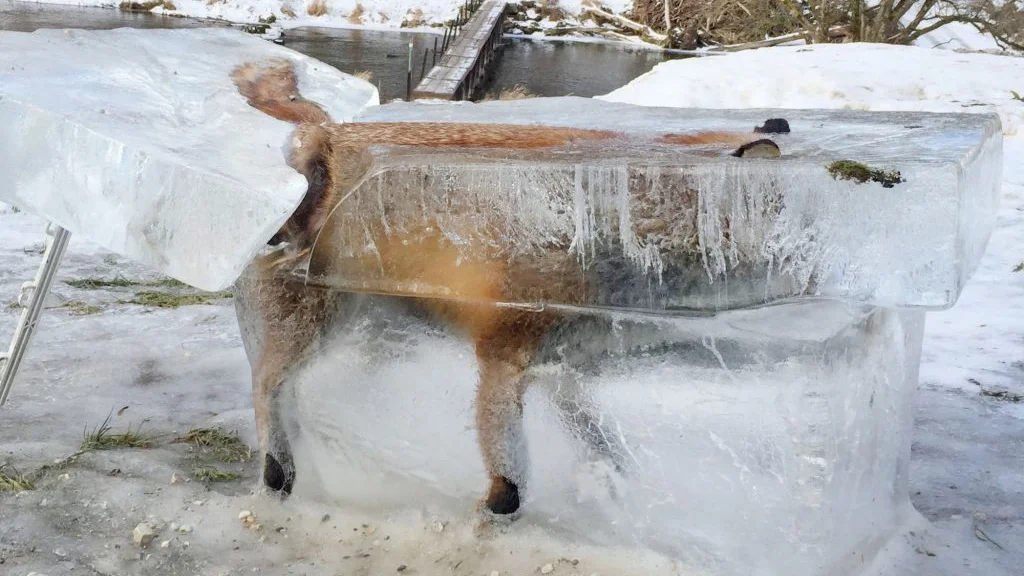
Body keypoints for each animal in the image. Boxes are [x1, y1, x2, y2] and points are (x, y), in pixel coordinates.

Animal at [232, 58, 786, 512]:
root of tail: (327, 134)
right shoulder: (504, 351)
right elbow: (509, 480)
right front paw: (497, 514)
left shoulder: (567, 366)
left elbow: (600, 440)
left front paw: (609, 483)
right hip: (315, 325)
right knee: (266, 384)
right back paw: (278, 470)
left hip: (374, 333)